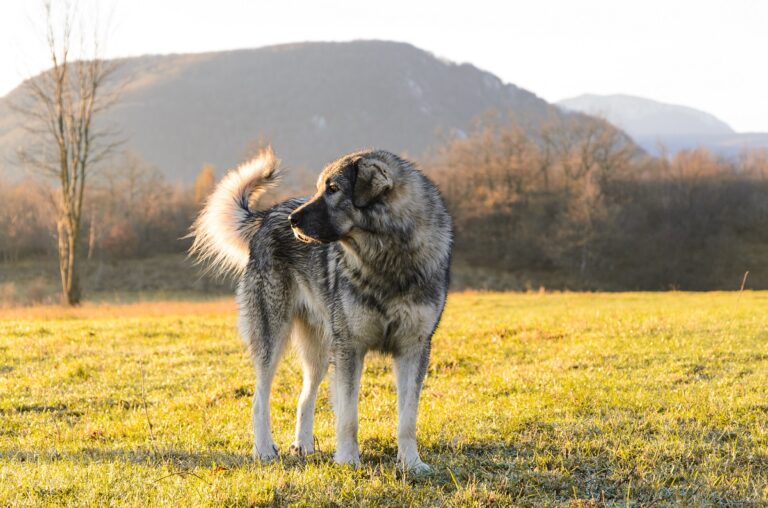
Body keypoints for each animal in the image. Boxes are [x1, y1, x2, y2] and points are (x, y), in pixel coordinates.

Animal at [190, 148, 450, 472]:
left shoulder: (414, 349)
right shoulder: (350, 348)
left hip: (321, 350)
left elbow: (407, 419)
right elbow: (348, 417)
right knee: (259, 398)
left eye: (333, 189)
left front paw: (412, 463)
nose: (293, 221)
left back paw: (303, 445)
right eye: (319, 188)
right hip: (273, 339)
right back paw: (264, 450)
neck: (387, 259)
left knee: (305, 397)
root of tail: (268, 215)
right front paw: (349, 460)